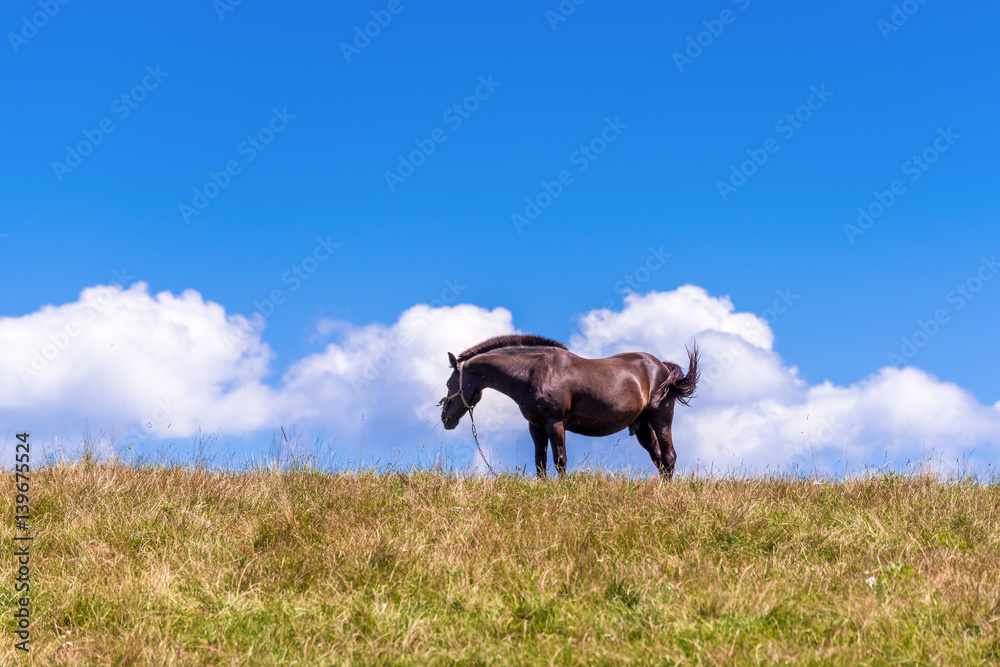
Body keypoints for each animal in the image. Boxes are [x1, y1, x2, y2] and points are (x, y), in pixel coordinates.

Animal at [438, 336, 696, 478]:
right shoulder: (536, 426)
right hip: (642, 426)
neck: (534, 372)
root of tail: (662, 366)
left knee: (669, 457)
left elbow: (560, 459)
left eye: (450, 383)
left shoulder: (555, 423)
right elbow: (540, 462)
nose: (445, 419)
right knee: (658, 460)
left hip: (661, 418)